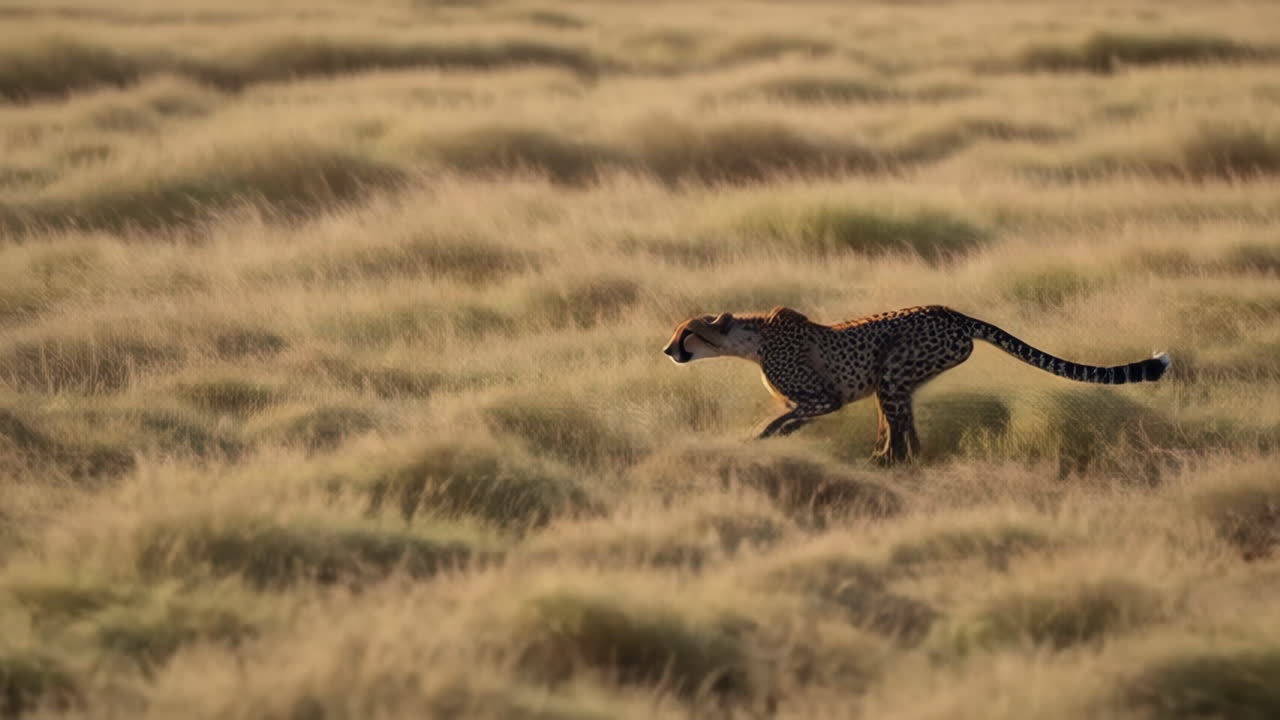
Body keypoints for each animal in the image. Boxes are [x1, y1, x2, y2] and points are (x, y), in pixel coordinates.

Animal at [662, 305, 1170, 464]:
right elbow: (788, 417)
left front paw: (760, 439)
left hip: (893, 373)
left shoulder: (826, 398)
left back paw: (887, 463)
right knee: (902, 426)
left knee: (899, 428)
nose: (667, 351)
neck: (752, 338)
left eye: (687, 334)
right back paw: (889, 461)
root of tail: (952, 311)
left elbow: (784, 417)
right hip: (897, 382)